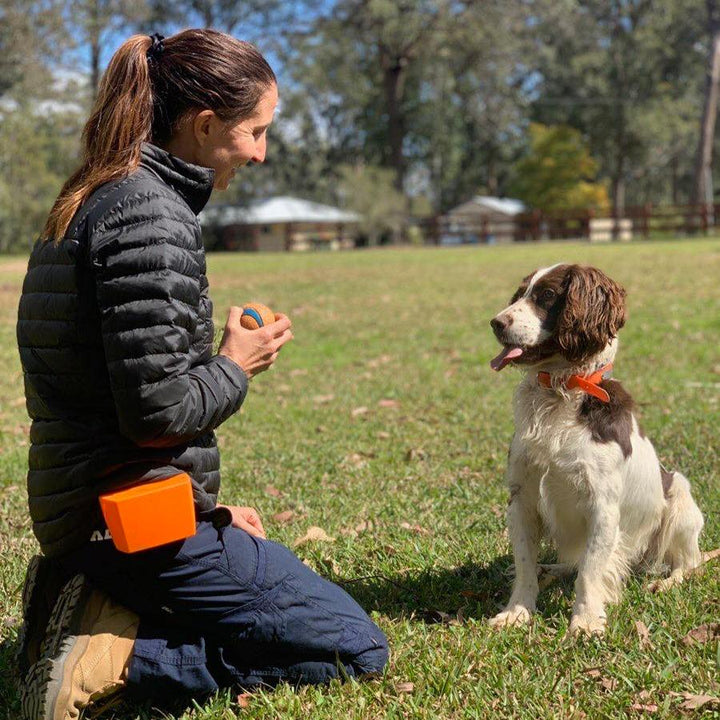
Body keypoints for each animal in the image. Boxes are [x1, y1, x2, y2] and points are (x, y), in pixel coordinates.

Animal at [490, 264, 704, 636]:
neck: (561, 394)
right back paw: (552, 569)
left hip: (679, 495)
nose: (496, 322)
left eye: (546, 295)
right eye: (518, 294)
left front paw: (587, 620)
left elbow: (591, 569)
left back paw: (666, 582)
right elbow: (525, 561)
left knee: (687, 563)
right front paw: (517, 611)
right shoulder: (522, 498)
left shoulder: (603, 506)